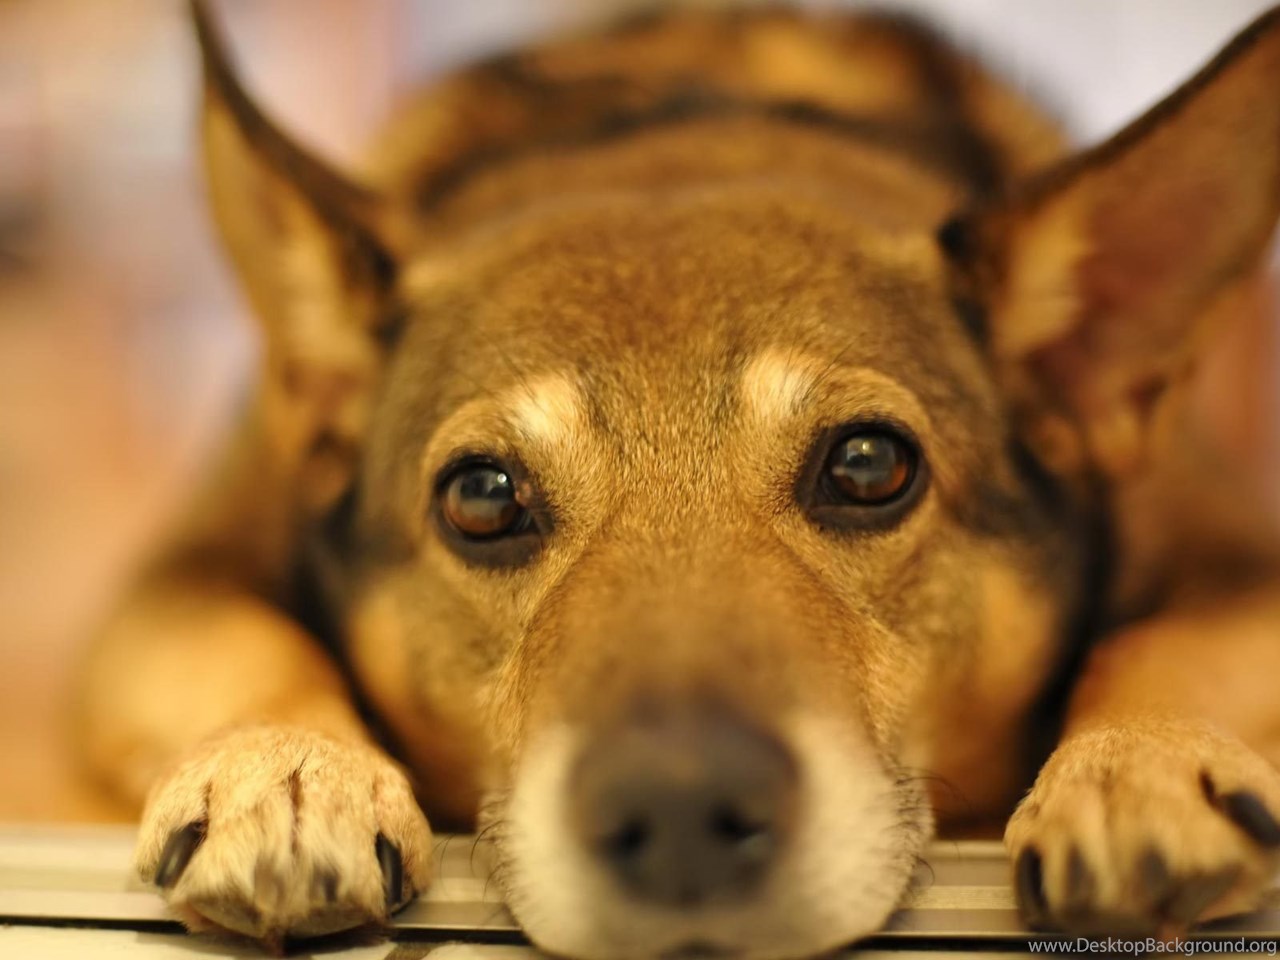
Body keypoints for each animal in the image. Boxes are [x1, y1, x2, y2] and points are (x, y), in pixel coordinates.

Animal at [74, 1, 1280, 956]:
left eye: (867, 465)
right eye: (481, 497)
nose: (683, 815)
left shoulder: (1235, 554)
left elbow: (1167, 641)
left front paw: (1137, 770)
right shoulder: (182, 570)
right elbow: (236, 639)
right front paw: (278, 773)